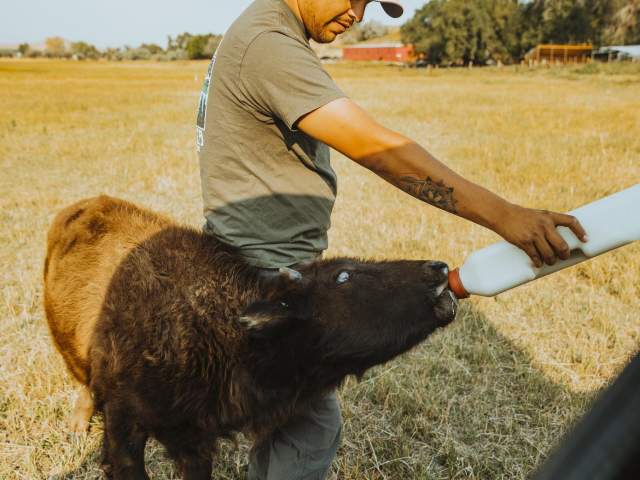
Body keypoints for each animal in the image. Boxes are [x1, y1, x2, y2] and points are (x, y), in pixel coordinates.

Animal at [43, 195, 458, 479]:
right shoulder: (125, 425)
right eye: (344, 275)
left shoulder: (195, 438)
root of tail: (78, 208)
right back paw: (77, 427)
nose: (438, 268)